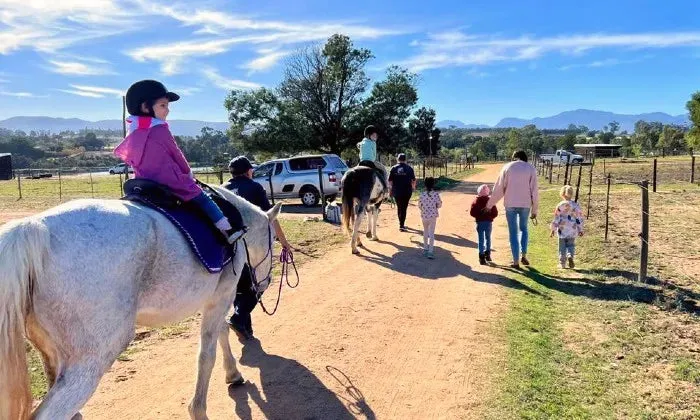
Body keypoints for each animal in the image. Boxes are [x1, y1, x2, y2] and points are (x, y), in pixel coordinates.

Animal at [0, 187, 278, 420]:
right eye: (273, 240)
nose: (264, 284)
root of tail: (34, 226)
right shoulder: (221, 297)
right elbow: (206, 354)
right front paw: (199, 408)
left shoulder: (214, 301)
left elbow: (221, 333)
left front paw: (233, 374)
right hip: (91, 360)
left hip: (51, 353)